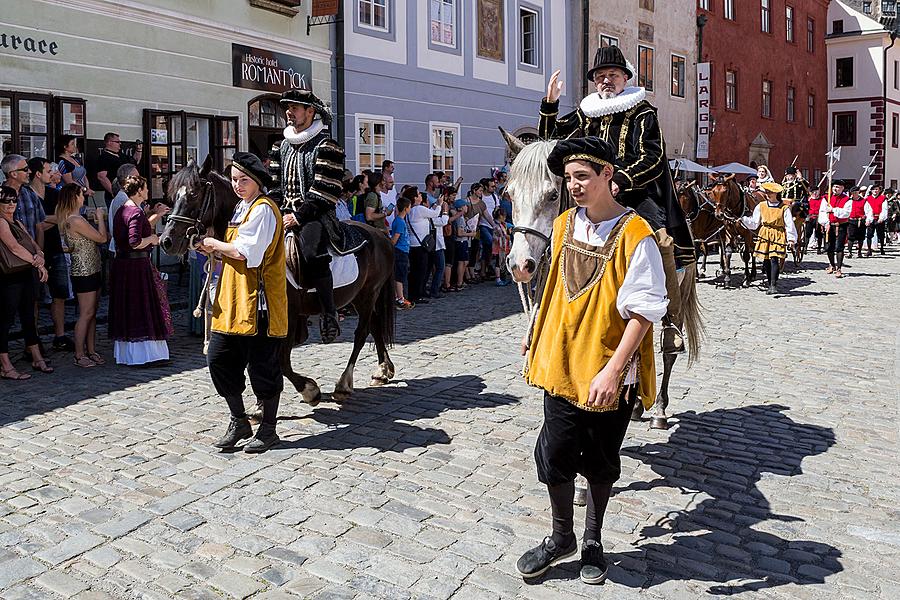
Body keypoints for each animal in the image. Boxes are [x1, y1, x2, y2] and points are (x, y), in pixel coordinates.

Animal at [159, 157, 398, 406]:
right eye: (173, 194)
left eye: (194, 194)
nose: (166, 241)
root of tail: (381, 236)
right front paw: (262, 405)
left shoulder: (287, 315)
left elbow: (281, 361)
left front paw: (309, 390)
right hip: (360, 297)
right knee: (375, 325)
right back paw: (383, 370)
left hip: (367, 295)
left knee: (362, 332)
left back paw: (344, 383)